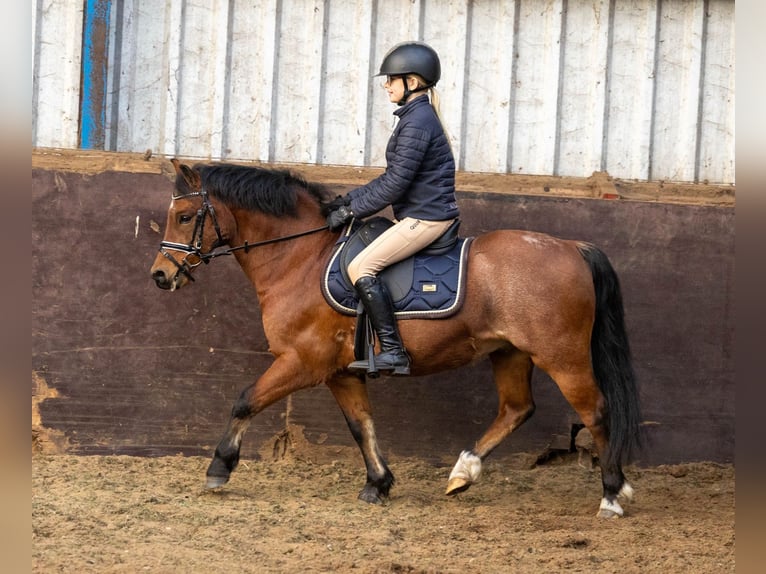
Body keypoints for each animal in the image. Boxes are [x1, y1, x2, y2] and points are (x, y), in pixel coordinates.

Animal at [150, 158, 642, 518]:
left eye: (185, 216)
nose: (160, 276)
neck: (301, 258)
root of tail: (572, 247)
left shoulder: (302, 361)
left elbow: (245, 400)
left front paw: (219, 468)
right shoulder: (341, 372)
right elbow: (361, 425)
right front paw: (378, 483)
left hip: (562, 356)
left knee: (596, 412)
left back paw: (612, 494)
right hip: (510, 353)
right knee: (516, 410)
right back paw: (463, 472)